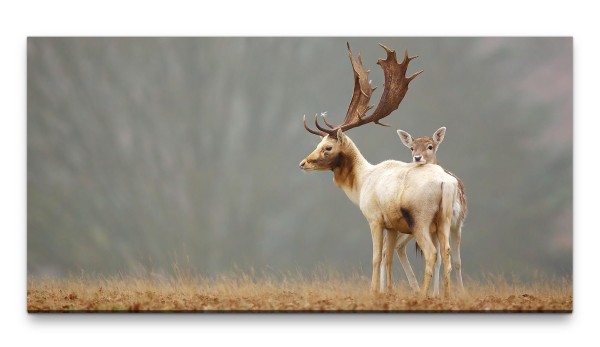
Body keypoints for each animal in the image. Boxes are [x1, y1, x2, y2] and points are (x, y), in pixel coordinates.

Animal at [298, 42, 458, 300]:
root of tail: (446, 183)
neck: (362, 183)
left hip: (421, 219)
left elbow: (375, 257)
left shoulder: (374, 218)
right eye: (318, 143)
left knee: (432, 253)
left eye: (327, 147)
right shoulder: (392, 225)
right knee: (447, 252)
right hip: (443, 219)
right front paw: (388, 291)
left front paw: (373, 291)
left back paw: (422, 294)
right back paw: (445, 295)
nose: (303, 163)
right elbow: (387, 258)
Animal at [382, 126, 472, 294]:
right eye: (412, 147)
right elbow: (441, 259)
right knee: (388, 246)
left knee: (396, 246)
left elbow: (455, 261)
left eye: (430, 146)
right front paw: (437, 293)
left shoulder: (458, 222)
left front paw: (459, 292)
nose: (417, 158)